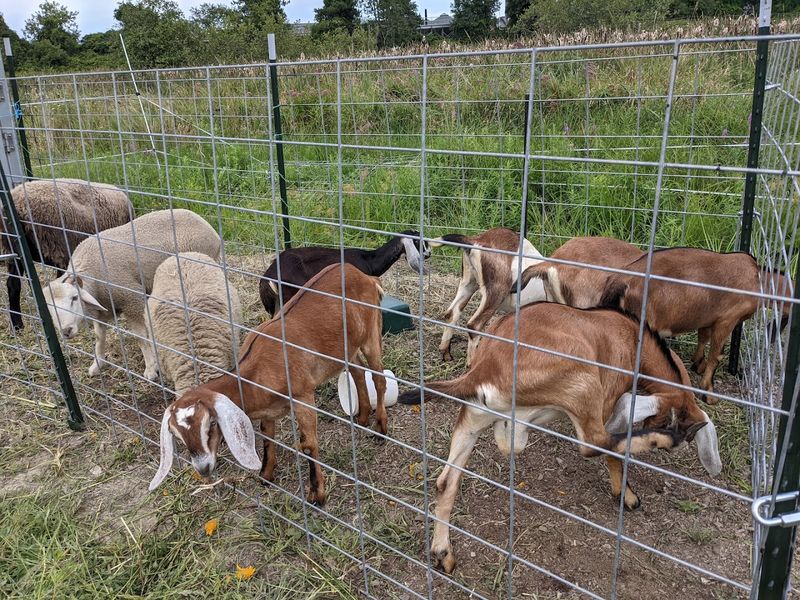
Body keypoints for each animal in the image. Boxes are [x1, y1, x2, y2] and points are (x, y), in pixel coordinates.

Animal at [149, 263, 386, 507]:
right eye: (176, 434)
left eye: (211, 424)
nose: (203, 467)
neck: (254, 372)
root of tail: (366, 277)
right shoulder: (268, 409)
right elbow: (267, 437)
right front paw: (265, 476)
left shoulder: (303, 396)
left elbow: (308, 445)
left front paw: (317, 495)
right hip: (348, 347)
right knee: (358, 371)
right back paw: (362, 417)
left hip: (372, 333)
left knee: (379, 377)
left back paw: (380, 429)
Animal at [398, 302, 721, 574]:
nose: (681, 432)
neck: (631, 335)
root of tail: (483, 368)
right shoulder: (607, 399)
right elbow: (612, 449)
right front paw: (626, 495)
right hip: (583, 386)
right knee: (593, 444)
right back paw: (663, 440)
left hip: (471, 420)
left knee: (446, 482)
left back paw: (443, 553)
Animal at [434, 227, 545, 364]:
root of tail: (477, 240)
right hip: (495, 291)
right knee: (474, 325)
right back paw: (471, 363)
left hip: (468, 282)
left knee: (451, 313)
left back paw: (446, 353)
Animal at [598, 248, 793, 403]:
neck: (760, 280)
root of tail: (620, 281)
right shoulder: (727, 319)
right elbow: (717, 355)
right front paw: (709, 392)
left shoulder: (708, 318)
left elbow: (703, 338)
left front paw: (698, 363)